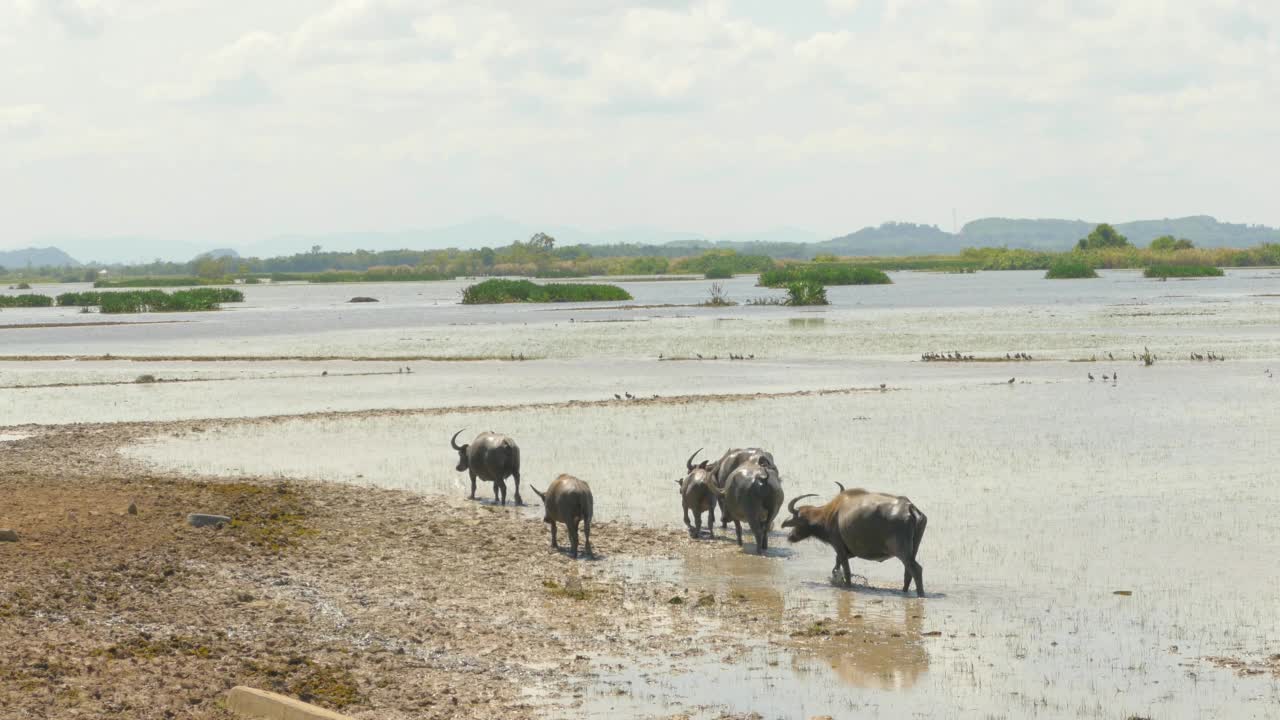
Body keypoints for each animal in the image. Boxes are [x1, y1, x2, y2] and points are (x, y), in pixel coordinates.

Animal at [778, 481, 931, 594]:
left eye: (797, 520)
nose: (790, 535)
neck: (831, 514)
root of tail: (910, 508)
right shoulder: (850, 551)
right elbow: (837, 563)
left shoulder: (838, 545)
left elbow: (845, 569)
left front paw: (846, 584)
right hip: (913, 550)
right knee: (908, 572)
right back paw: (904, 591)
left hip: (901, 551)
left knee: (916, 569)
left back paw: (920, 594)